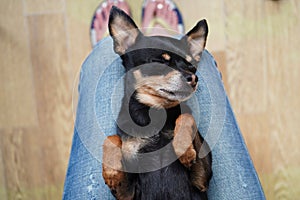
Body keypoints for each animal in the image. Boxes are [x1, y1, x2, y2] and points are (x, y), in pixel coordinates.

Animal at [103, 6, 213, 200]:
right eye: (158, 62)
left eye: (192, 67)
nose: (193, 78)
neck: (156, 111)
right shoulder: (128, 193)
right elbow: (111, 137)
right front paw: (110, 172)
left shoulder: (201, 181)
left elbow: (186, 116)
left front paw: (183, 148)